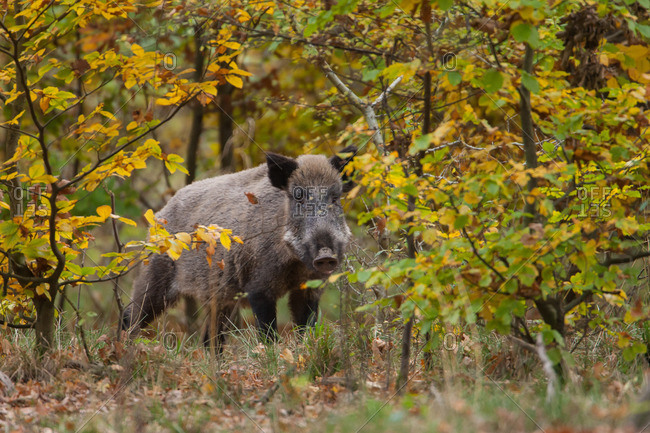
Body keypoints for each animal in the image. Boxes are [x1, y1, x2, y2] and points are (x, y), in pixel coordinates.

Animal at [121, 146, 356, 348]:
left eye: (335, 198)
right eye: (299, 198)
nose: (325, 255)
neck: (294, 263)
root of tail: (159, 215)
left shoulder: (310, 288)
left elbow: (305, 328)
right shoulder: (258, 286)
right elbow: (268, 334)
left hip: (220, 297)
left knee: (210, 339)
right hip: (155, 274)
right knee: (130, 315)